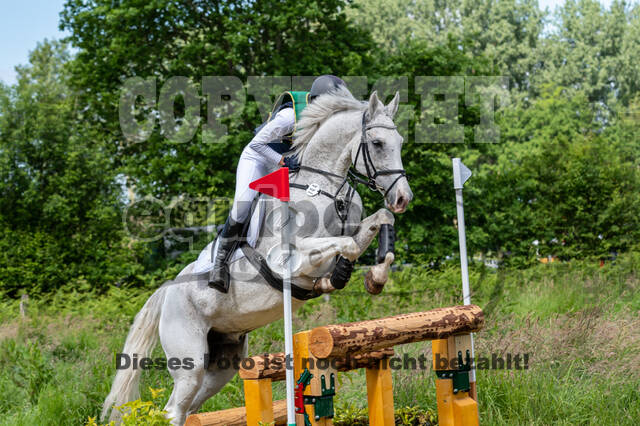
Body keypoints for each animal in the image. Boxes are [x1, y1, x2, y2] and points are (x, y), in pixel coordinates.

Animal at [101, 87, 413, 425]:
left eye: (400, 143)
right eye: (377, 143)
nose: (403, 198)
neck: (324, 187)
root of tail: (167, 290)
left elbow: (377, 222)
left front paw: (373, 278)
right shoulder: (287, 258)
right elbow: (348, 245)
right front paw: (338, 279)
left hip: (221, 364)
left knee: (188, 408)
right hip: (190, 360)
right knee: (173, 410)